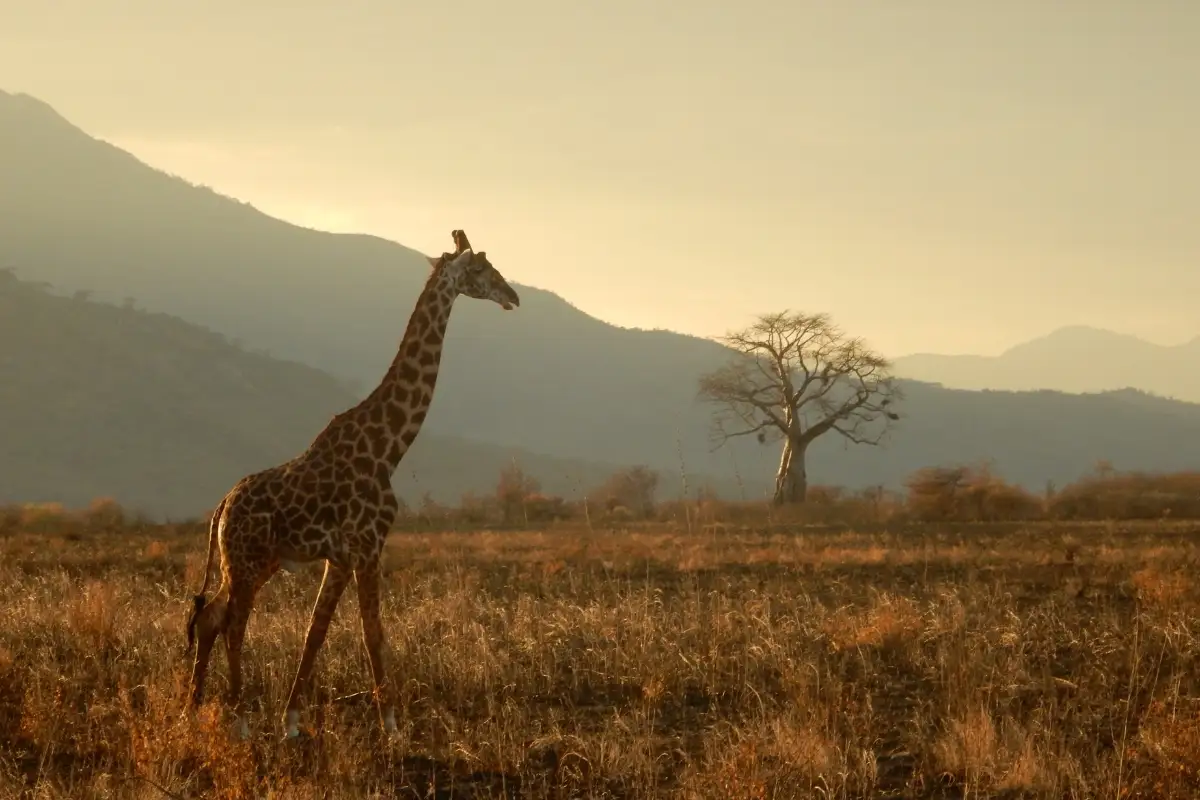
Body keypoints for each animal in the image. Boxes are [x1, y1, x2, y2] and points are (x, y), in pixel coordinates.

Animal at [184, 229, 519, 740]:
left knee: (211, 617)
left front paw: (292, 721)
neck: (389, 447)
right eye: (482, 269)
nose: (513, 296)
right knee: (235, 623)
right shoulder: (366, 545)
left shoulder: (340, 556)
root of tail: (222, 506)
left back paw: (191, 710)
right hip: (246, 560)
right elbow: (372, 632)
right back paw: (238, 719)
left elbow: (316, 632)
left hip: (249, 563)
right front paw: (393, 726)